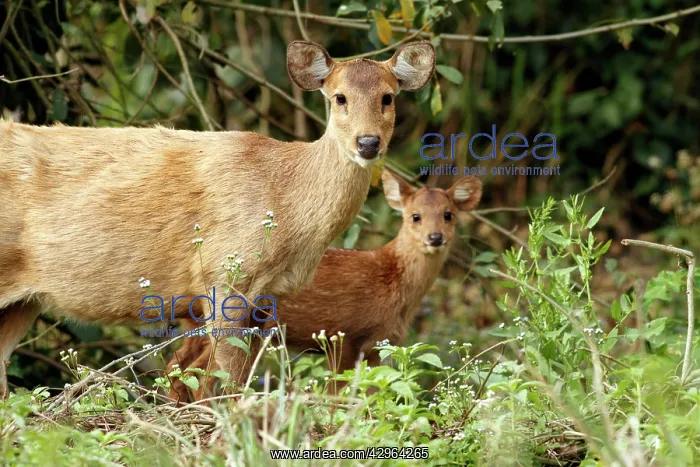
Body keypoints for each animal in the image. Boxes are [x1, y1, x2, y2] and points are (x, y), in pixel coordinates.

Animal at [0, 41, 436, 399]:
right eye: (339, 97)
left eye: (387, 97)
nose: (368, 142)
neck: (285, 198)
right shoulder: (225, 274)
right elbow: (226, 381)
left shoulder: (266, 299)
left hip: (23, 302)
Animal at [167, 170, 482, 402]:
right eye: (415, 216)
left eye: (448, 214)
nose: (435, 237)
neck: (392, 281)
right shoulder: (344, 335)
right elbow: (339, 393)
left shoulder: (379, 345)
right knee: (201, 374)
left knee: (177, 367)